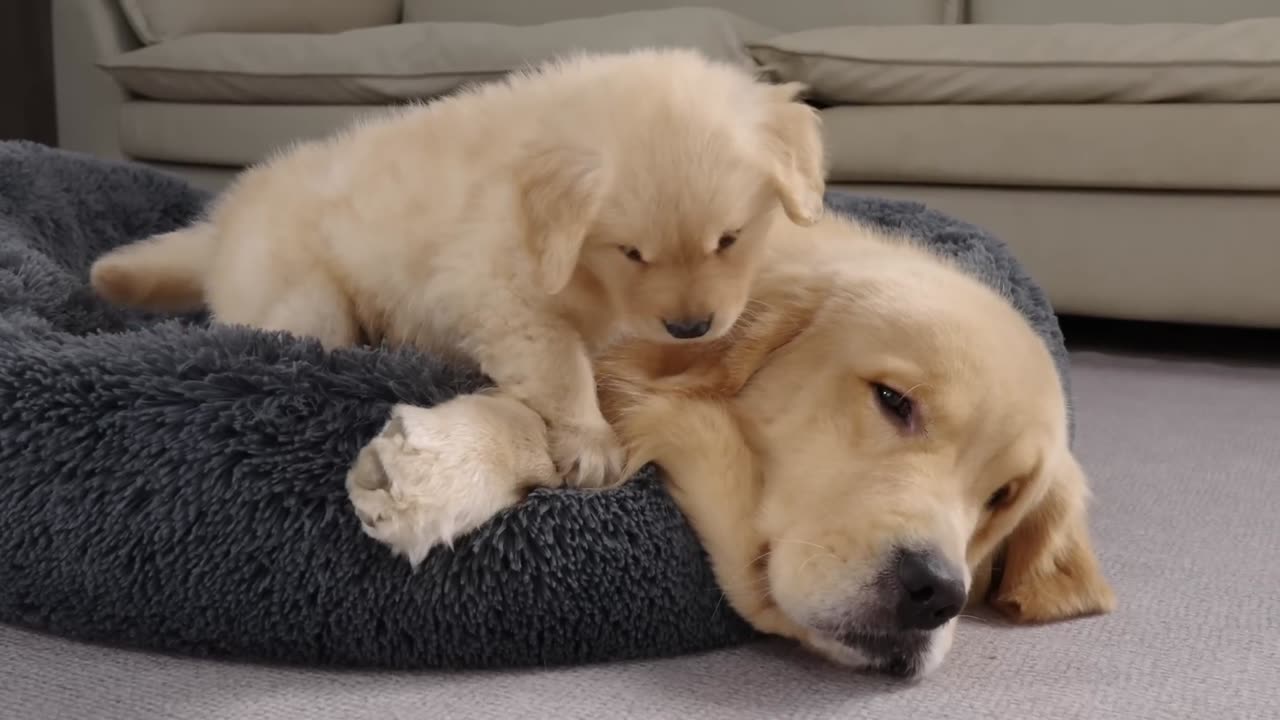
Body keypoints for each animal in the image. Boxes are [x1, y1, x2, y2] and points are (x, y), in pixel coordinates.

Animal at [92, 49, 829, 486]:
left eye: (729, 239)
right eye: (632, 253)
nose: (691, 327)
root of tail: (223, 229)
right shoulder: (505, 297)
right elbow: (564, 372)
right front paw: (591, 442)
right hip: (306, 300)